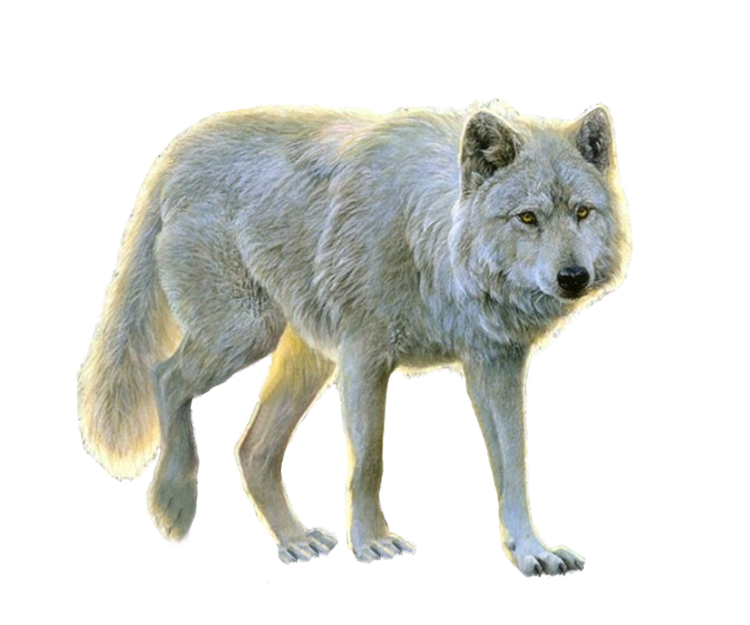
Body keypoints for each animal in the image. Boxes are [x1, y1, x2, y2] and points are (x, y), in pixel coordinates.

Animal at [77, 103, 629, 576]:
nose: (573, 277)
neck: (427, 242)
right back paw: (176, 507)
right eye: (528, 218)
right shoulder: (366, 358)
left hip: (304, 363)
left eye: (582, 212)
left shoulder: (495, 364)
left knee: (254, 451)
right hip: (243, 338)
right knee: (166, 378)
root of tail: (179, 152)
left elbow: (514, 463)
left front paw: (533, 552)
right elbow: (366, 462)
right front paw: (370, 545)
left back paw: (295, 541)